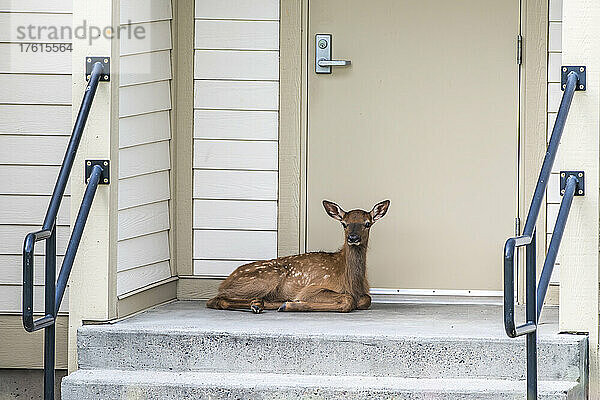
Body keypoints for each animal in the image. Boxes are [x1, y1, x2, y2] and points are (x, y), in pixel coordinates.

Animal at [209, 199, 392, 312]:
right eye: (344, 223)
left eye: (367, 223)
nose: (353, 238)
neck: (351, 281)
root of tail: (226, 281)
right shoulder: (311, 288)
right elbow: (349, 300)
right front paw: (292, 304)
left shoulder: (364, 293)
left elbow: (365, 299)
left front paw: (287, 304)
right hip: (267, 277)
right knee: (216, 299)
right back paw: (258, 304)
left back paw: (263, 303)